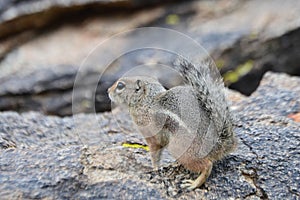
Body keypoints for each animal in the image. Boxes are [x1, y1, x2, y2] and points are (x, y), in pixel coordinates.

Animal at [108, 57, 237, 190]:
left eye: (120, 85)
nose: (108, 91)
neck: (147, 101)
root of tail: (220, 144)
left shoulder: (151, 135)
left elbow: (155, 153)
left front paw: (154, 168)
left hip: (179, 148)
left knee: (207, 165)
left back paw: (194, 183)